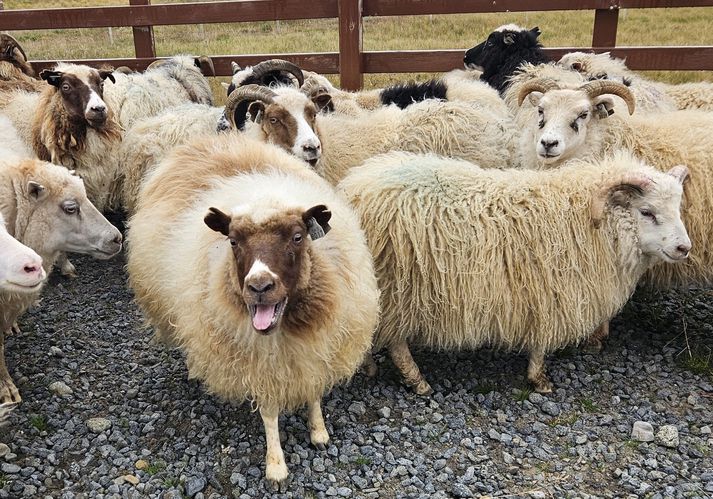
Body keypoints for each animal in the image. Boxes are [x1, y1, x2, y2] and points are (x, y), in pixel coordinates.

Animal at [126, 135, 378, 486]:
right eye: (233, 241)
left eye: (298, 236)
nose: (259, 286)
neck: (284, 332)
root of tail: (208, 141)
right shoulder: (258, 362)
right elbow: (270, 412)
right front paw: (276, 465)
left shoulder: (317, 345)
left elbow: (313, 389)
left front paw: (319, 432)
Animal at [340, 150, 688, 396]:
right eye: (647, 212)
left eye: (678, 209)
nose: (684, 248)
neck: (588, 218)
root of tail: (354, 189)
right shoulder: (551, 293)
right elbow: (542, 341)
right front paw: (539, 379)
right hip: (399, 288)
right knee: (396, 342)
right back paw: (417, 381)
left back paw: (370, 367)